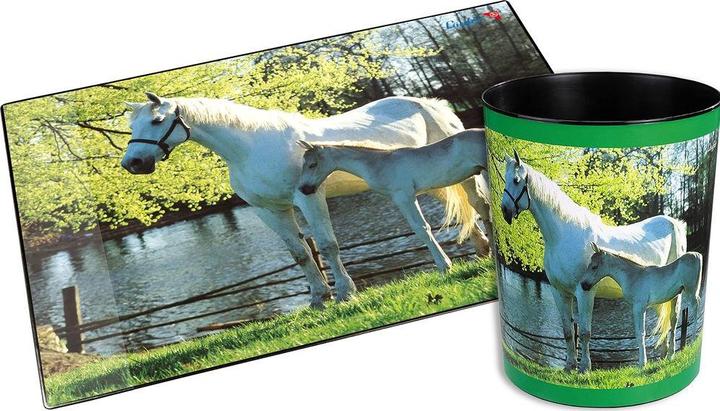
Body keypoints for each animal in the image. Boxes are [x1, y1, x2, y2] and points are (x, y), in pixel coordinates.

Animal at [296, 129, 490, 272]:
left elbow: (422, 229)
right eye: (303, 165)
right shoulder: (401, 198)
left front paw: (444, 266)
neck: (380, 163)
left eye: (312, 165)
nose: (304, 189)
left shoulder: (404, 196)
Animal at [500, 150, 686, 372]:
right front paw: (569, 366)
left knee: (674, 318)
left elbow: (585, 332)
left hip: (676, 292)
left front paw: (584, 368)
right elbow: (567, 331)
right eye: (505, 178)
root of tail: (674, 223)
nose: (505, 211)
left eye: (516, 180)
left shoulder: (585, 291)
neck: (564, 235)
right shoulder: (559, 292)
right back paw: (664, 355)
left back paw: (671, 355)